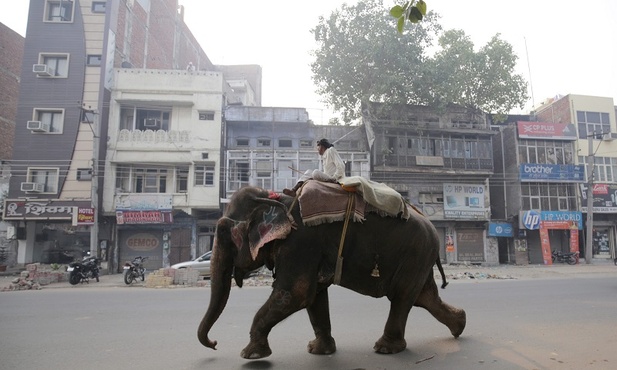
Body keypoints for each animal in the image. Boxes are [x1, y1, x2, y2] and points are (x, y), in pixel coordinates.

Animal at [199, 186, 466, 360]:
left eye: (222, 231)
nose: (214, 344)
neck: (276, 198)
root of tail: (432, 228)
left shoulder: (300, 243)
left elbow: (295, 293)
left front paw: (250, 355)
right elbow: (313, 296)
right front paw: (318, 350)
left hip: (415, 254)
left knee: (402, 297)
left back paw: (385, 349)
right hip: (419, 258)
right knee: (423, 296)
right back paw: (460, 324)